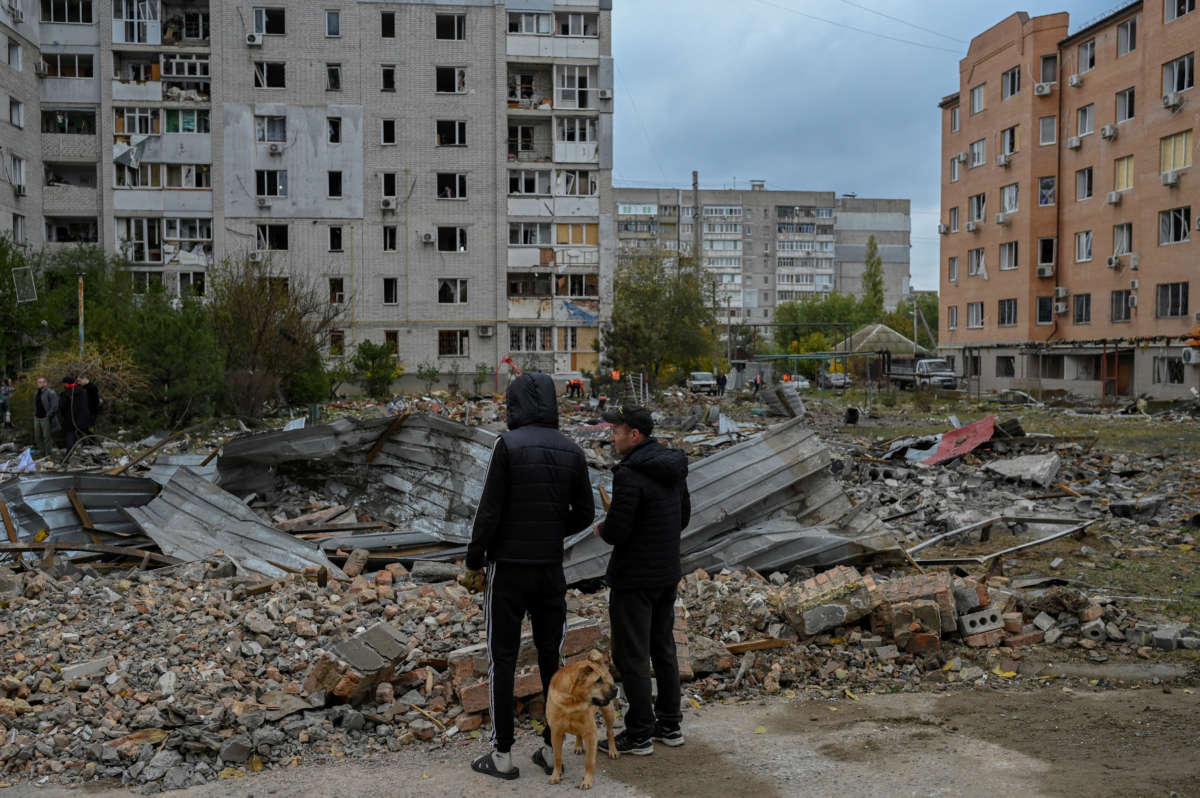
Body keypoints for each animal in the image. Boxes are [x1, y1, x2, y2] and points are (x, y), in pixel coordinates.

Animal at [547, 652, 619, 787]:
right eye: (598, 680)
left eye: (603, 678)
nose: (616, 689)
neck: (571, 702)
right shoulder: (556, 733)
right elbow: (557, 757)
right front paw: (555, 775)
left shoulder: (591, 734)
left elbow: (589, 761)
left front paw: (587, 781)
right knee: (578, 734)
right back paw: (579, 746)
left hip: (609, 712)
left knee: (610, 732)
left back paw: (613, 750)